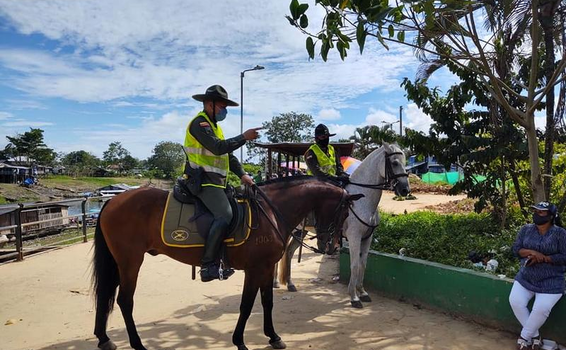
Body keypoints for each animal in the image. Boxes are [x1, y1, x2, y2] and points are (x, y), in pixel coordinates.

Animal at [91, 176, 362, 350]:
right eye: (343, 213)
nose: (331, 246)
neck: (270, 213)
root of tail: (112, 201)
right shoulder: (255, 270)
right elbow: (246, 305)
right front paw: (240, 341)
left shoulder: (265, 269)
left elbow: (267, 302)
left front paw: (273, 336)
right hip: (130, 262)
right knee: (124, 300)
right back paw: (137, 344)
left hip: (120, 262)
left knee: (106, 296)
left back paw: (104, 339)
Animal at [274, 143, 408, 306]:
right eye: (394, 163)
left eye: (405, 162)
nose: (405, 189)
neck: (361, 200)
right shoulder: (354, 237)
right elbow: (355, 265)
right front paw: (354, 297)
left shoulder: (368, 237)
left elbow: (363, 264)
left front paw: (362, 292)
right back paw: (275, 282)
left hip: (300, 231)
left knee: (289, 252)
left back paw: (290, 284)